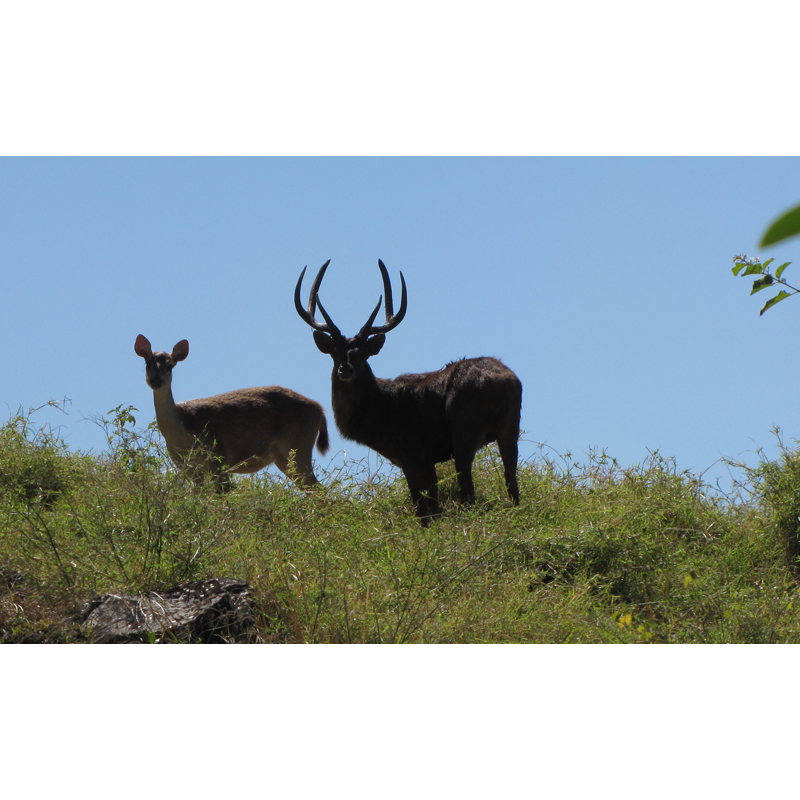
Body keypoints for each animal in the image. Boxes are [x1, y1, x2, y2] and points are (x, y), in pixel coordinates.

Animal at [134, 336, 328, 490]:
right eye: (147, 363)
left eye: (170, 366)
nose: (156, 380)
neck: (183, 432)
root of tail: (320, 410)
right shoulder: (187, 467)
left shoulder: (218, 457)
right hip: (284, 458)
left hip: (298, 446)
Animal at [292, 260, 520, 524]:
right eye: (335, 353)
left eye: (362, 354)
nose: (345, 369)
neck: (379, 413)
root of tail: (506, 381)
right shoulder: (427, 459)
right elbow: (434, 507)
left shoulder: (411, 453)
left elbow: (423, 512)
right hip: (510, 429)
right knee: (513, 485)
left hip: (465, 431)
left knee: (468, 493)